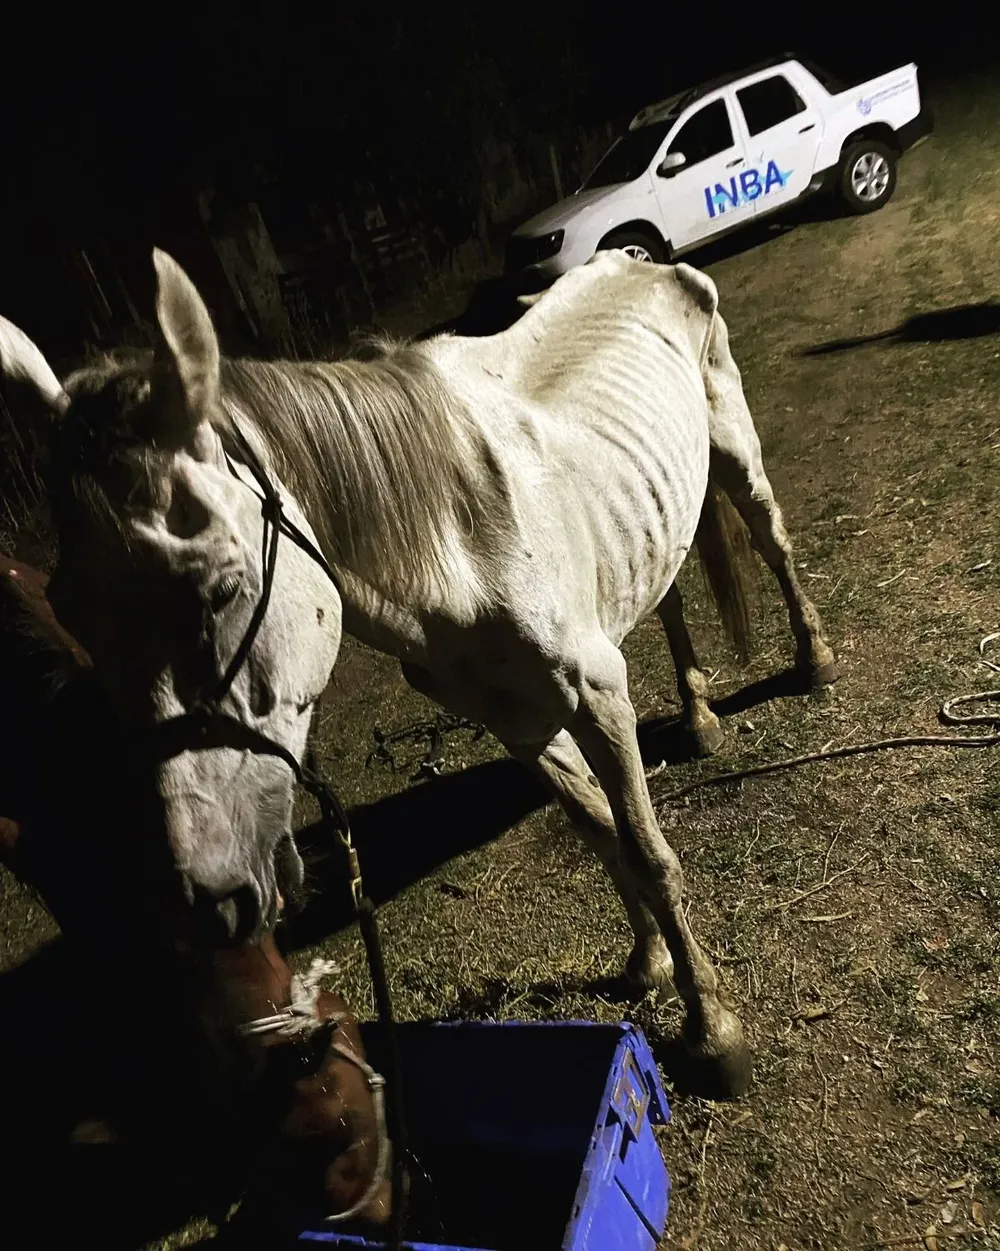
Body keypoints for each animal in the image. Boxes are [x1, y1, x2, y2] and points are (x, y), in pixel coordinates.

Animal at [0, 246, 839, 1098]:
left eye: (219, 591)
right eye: (68, 616)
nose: (208, 900)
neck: (461, 544)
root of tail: (641, 258)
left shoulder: (594, 696)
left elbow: (648, 853)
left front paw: (713, 1030)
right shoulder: (515, 720)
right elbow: (600, 830)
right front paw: (649, 960)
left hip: (734, 452)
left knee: (774, 544)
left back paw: (814, 660)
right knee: (666, 595)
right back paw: (699, 715)